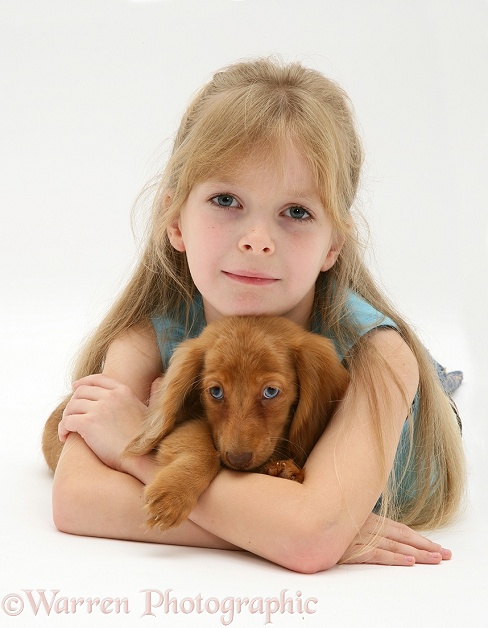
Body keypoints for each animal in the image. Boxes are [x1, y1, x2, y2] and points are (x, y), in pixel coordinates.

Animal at [41, 314, 346, 528]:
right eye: (215, 392)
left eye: (270, 391)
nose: (236, 460)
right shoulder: (191, 422)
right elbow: (204, 450)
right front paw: (174, 493)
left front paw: (285, 469)